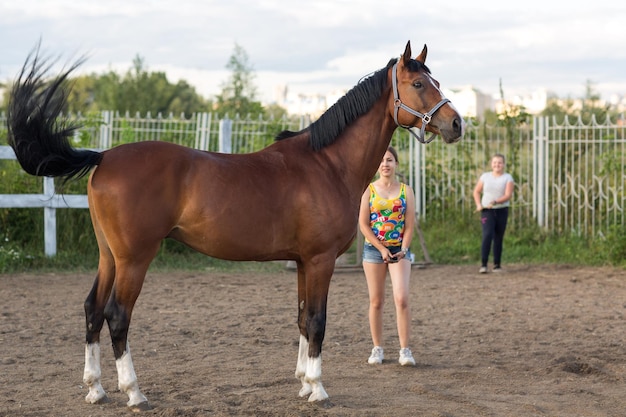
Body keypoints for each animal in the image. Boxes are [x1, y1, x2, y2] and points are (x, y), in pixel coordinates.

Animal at [6, 40, 464, 412]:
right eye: (419, 84)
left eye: (437, 80)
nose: (457, 124)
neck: (327, 163)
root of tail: (104, 156)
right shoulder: (320, 261)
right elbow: (317, 320)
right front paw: (318, 389)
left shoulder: (303, 262)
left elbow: (301, 318)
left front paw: (302, 383)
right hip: (134, 258)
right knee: (117, 316)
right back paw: (134, 393)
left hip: (109, 257)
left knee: (92, 310)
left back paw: (96, 389)